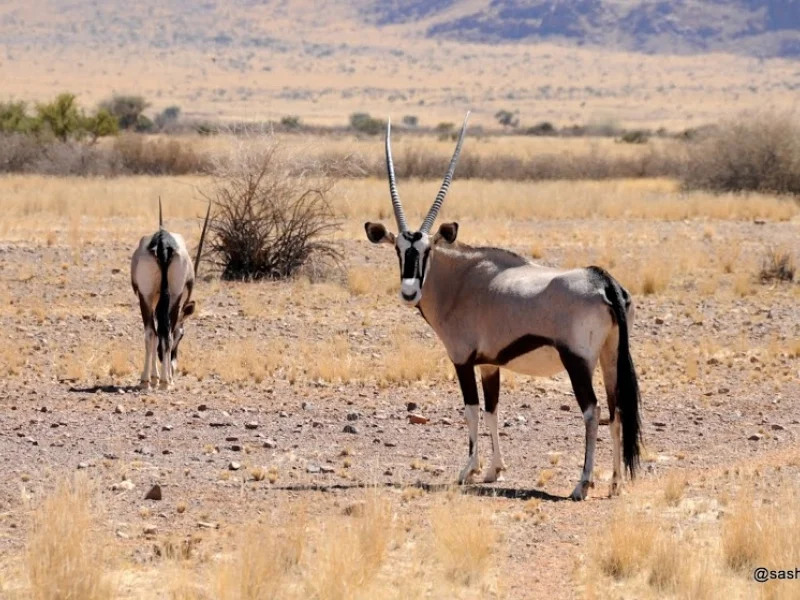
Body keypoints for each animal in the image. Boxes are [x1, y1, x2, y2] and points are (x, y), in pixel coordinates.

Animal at [130, 199, 210, 390]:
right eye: (182, 335)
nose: (175, 365)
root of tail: (163, 242)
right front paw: (163, 377)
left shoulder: (152, 299)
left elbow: (155, 332)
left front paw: (154, 377)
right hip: (174, 296)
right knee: (164, 332)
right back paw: (167, 381)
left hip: (146, 295)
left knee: (151, 333)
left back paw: (146, 381)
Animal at [364, 114, 641, 500]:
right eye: (398, 249)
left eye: (427, 250)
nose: (409, 291)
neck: (462, 280)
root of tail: (603, 281)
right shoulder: (489, 364)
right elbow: (493, 410)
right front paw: (493, 470)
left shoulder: (462, 359)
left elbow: (471, 411)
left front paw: (467, 471)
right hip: (609, 355)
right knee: (616, 410)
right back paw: (614, 483)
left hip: (578, 361)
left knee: (592, 410)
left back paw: (581, 484)